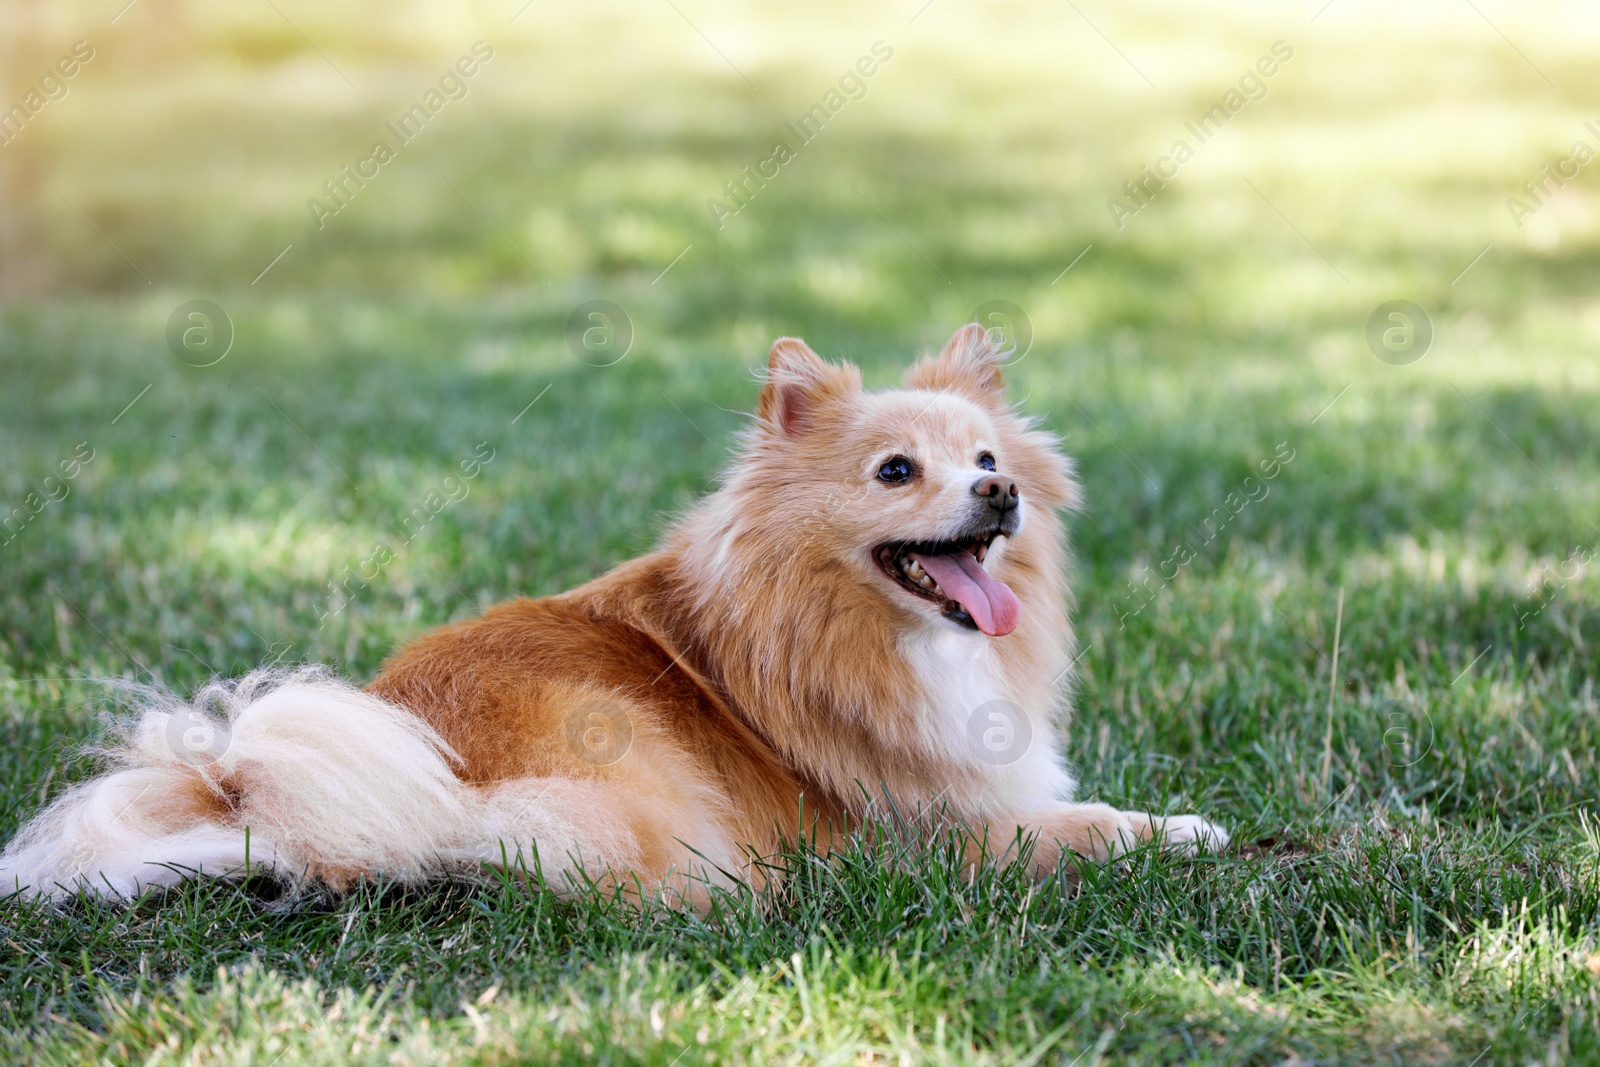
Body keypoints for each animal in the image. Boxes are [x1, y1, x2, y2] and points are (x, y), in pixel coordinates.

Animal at [0, 323, 1228, 902]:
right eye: (895, 471)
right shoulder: (928, 831)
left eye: (984, 460)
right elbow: (1076, 826)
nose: (1001, 491)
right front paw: (1178, 828)